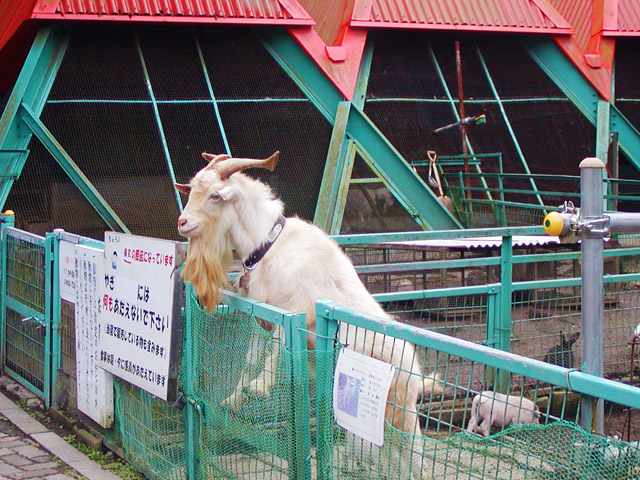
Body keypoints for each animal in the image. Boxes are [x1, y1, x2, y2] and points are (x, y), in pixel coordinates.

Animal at [178, 152, 442, 478]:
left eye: (215, 195)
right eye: (192, 189)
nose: (182, 222)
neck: (270, 245)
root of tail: (417, 373)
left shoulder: (296, 311)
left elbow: (277, 347)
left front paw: (259, 388)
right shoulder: (261, 312)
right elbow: (252, 357)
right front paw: (235, 398)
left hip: (399, 410)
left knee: (412, 453)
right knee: (386, 456)